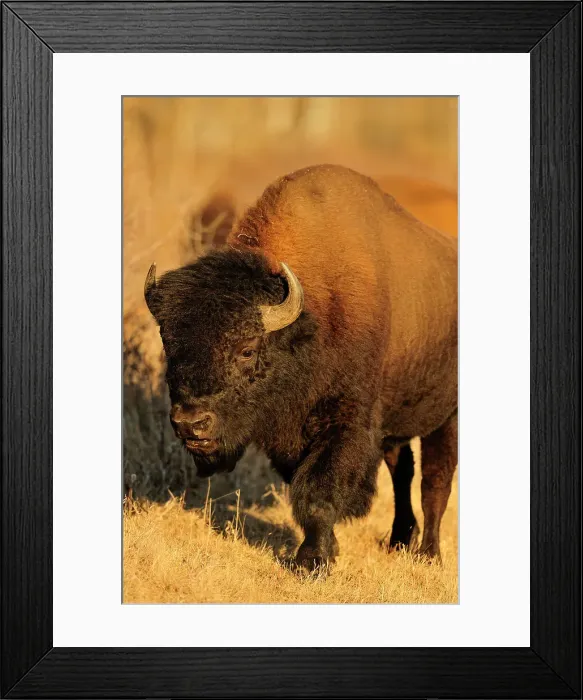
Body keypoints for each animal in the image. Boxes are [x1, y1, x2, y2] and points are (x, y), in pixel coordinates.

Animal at [144, 164, 458, 569]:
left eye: (247, 350)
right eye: (169, 344)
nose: (190, 424)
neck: (313, 317)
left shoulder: (346, 423)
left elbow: (318, 492)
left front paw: (312, 562)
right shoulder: (290, 437)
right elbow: (302, 483)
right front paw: (328, 550)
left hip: (446, 417)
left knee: (435, 481)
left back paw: (428, 554)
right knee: (402, 471)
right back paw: (400, 540)